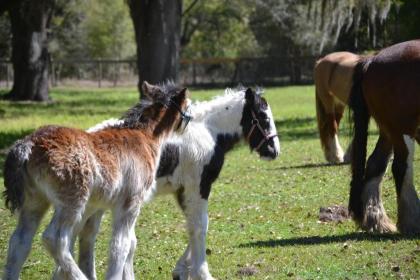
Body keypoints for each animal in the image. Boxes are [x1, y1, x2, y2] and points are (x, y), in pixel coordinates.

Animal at [2, 82, 190, 280]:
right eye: (188, 104)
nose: (189, 120)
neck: (145, 137)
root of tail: (28, 144)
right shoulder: (130, 204)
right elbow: (121, 245)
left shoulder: (101, 207)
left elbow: (123, 242)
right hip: (72, 201)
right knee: (55, 239)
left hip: (35, 200)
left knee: (19, 241)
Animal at [78, 86, 280, 278]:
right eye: (263, 117)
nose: (274, 150)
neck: (209, 131)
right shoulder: (198, 186)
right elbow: (200, 226)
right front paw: (201, 273)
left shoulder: (181, 191)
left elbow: (194, 224)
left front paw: (181, 271)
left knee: (88, 235)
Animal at [348, 40, 420, 235]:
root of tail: (373, 59)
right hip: (400, 131)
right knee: (400, 167)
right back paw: (412, 222)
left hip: (388, 132)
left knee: (375, 164)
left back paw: (376, 220)